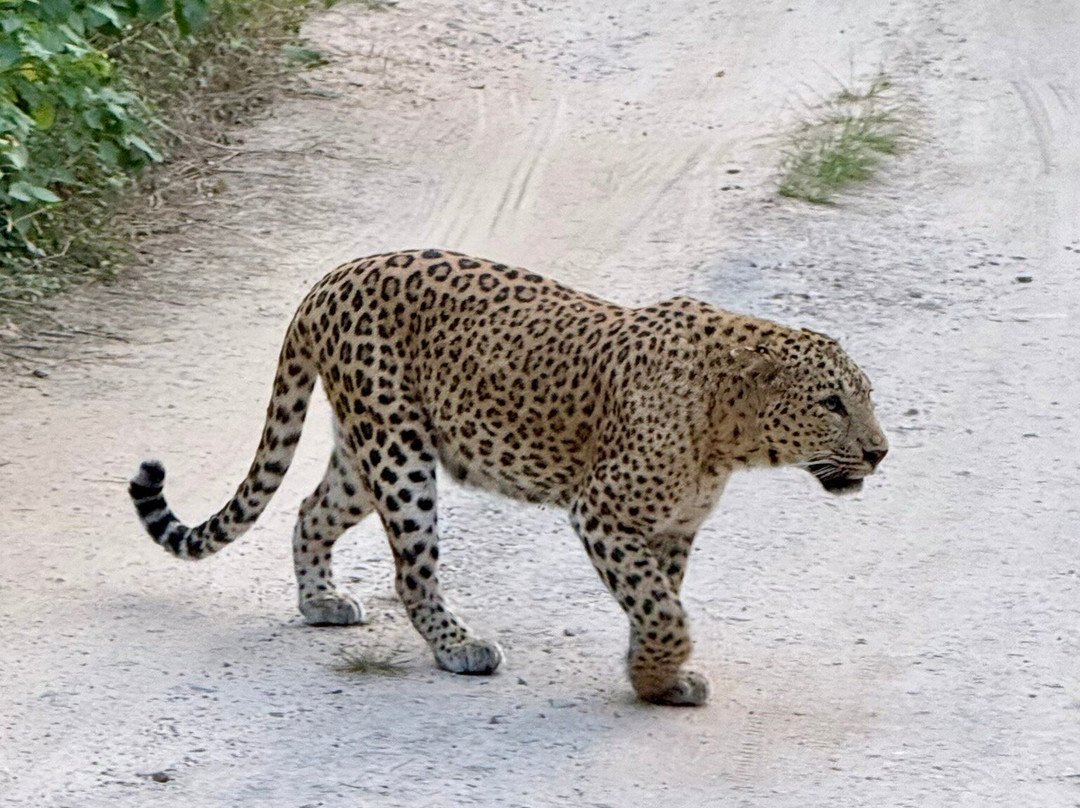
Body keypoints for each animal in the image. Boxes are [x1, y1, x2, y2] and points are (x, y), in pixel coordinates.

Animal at [129, 248, 888, 706]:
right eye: (832, 403)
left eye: (867, 397)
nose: (881, 452)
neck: (730, 437)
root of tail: (331, 279)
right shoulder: (603, 512)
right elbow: (662, 607)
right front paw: (656, 674)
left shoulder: (671, 529)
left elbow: (660, 601)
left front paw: (657, 678)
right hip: (400, 454)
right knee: (411, 571)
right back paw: (459, 648)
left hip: (368, 448)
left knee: (310, 512)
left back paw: (321, 602)